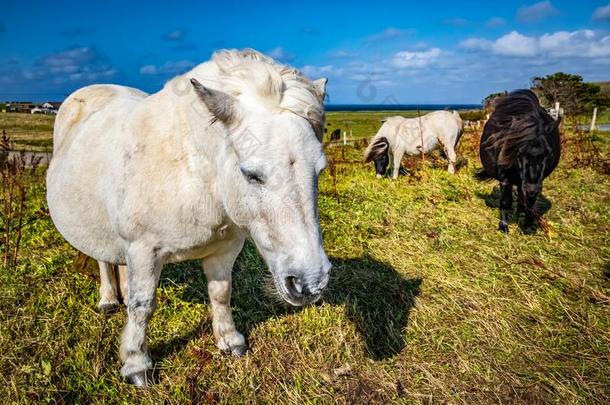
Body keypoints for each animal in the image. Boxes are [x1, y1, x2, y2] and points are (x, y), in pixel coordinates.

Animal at [46, 48, 332, 386]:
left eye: (320, 170)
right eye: (251, 174)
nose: (310, 282)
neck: (193, 169)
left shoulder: (224, 249)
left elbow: (221, 293)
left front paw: (229, 340)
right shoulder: (144, 250)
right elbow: (143, 306)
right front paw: (137, 363)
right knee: (105, 260)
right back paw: (108, 299)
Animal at [476, 89, 560, 232]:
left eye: (548, 153)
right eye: (519, 153)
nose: (532, 189)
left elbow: (530, 203)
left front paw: (528, 224)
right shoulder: (505, 178)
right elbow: (505, 200)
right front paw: (503, 225)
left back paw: (520, 210)